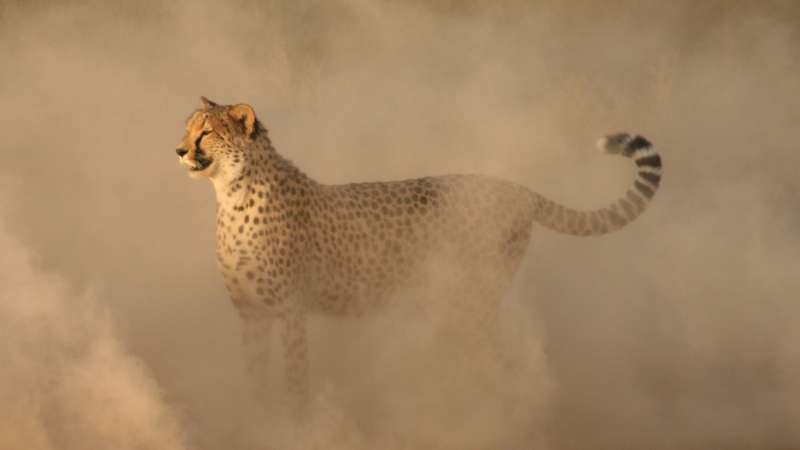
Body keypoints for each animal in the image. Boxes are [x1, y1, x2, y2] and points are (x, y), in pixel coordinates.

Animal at [174, 96, 662, 411]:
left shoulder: (291, 310)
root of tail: (512, 187)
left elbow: (296, 379)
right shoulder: (251, 313)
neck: (232, 193)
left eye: (207, 132)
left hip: (470, 298)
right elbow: (255, 378)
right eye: (188, 128)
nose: (179, 150)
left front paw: (296, 425)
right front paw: (258, 419)